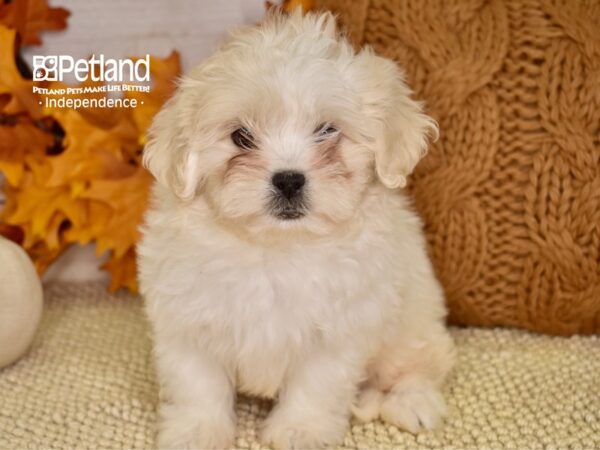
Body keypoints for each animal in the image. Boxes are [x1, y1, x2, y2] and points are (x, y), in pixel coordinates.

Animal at [137, 10, 454, 450]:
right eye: (241, 137)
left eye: (327, 130)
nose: (288, 180)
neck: (276, 248)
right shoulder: (187, 321)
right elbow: (198, 384)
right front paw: (196, 432)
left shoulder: (337, 331)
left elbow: (314, 386)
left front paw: (299, 430)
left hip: (412, 324)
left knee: (421, 365)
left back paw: (412, 403)